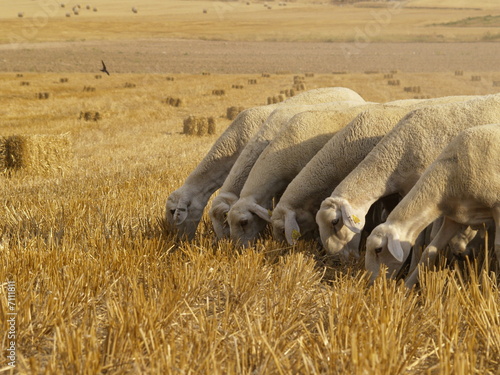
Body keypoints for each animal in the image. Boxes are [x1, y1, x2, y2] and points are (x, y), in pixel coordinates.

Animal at [364, 125, 500, 286]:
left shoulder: (497, 208)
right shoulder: (455, 217)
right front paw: (407, 286)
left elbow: (498, 248)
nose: (371, 284)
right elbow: (429, 251)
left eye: (378, 249)